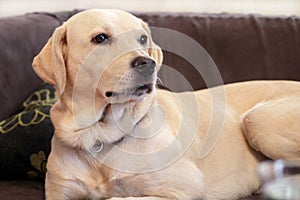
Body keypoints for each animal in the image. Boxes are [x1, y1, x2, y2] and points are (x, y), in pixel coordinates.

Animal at [32, 9, 300, 200]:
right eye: (100, 38)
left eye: (142, 39)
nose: (147, 63)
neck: (99, 136)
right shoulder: (59, 192)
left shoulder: (185, 187)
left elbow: (122, 198)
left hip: (258, 121)